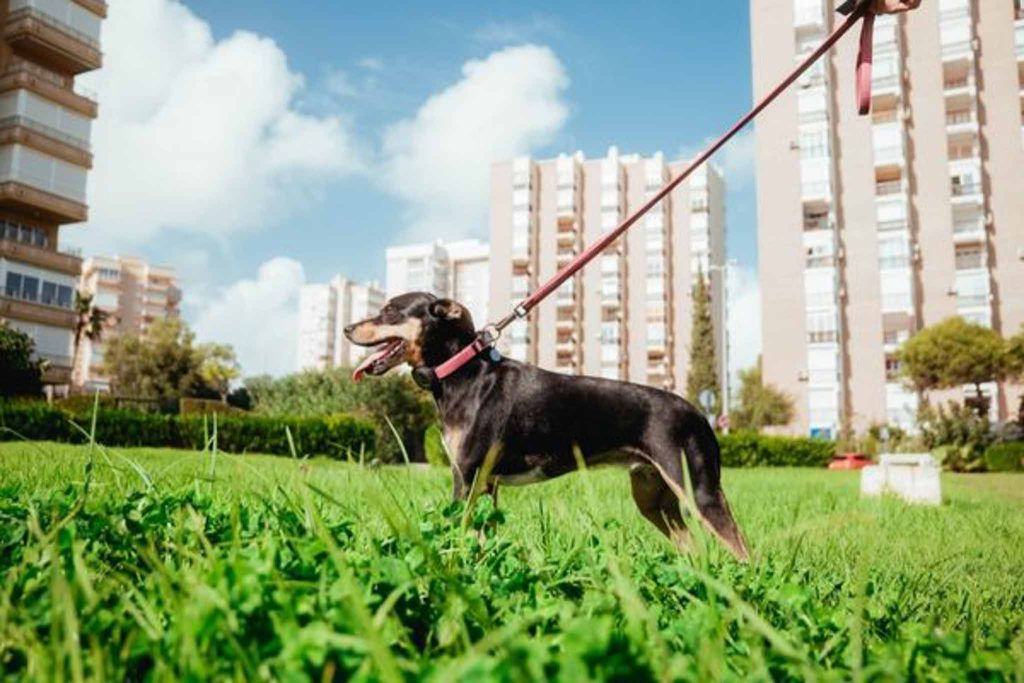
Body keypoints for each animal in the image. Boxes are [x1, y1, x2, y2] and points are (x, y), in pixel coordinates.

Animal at [348, 290, 749, 557]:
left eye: (389, 310)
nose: (348, 328)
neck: (463, 372)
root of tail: (698, 414)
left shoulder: (467, 477)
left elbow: (458, 531)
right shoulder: (487, 484)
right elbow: (481, 537)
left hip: (699, 490)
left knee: (741, 548)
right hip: (653, 498)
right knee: (693, 547)